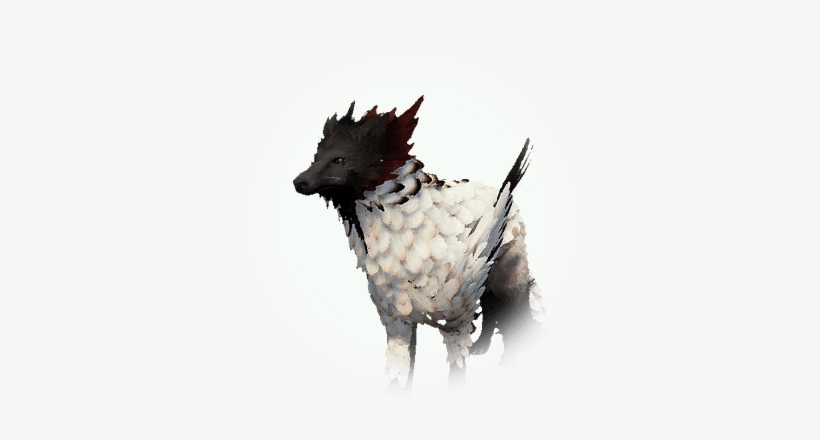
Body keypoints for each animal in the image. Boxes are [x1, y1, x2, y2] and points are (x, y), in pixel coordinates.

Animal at [293, 96, 544, 388]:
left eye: (339, 159)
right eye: (316, 156)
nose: (299, 182)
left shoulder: (456, 319)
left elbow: (457, 372)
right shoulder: (396, 320)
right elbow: (399, 377)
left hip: (508, 274)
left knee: (516, 310)